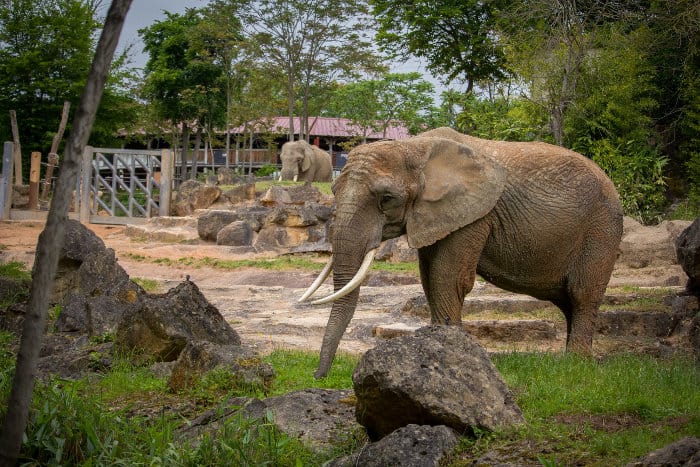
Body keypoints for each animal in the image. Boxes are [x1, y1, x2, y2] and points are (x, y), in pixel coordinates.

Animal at [299, 127, 624, 378]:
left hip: (601, 229)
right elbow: (429, 278)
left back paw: (576, 365)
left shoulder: (473, 214)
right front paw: (430, 348)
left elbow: (448, 277)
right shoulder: (435, 215)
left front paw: (448, 352)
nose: (318, 376)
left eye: (387, 198)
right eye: (333, 190)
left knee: (582, 294)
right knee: (567, 301)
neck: (416, 148)